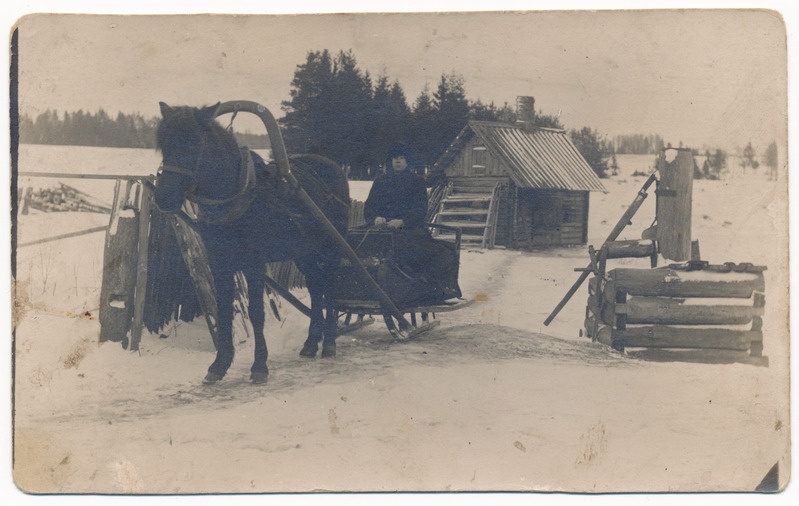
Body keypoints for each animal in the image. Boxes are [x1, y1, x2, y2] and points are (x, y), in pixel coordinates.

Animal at [153, 102, 350, 384]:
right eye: (163, 143)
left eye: (194, 143)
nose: (163, 197)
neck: (236, 197)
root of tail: (333, 168)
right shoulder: (219, 262)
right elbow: (223, 309)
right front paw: (219, 364)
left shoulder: (254, 263)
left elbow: (257, 313)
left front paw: (259, 365)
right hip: (304, 252)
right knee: (316, 287)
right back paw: (312, 343)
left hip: (331, 247)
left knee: (330, 287)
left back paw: (330, 342)